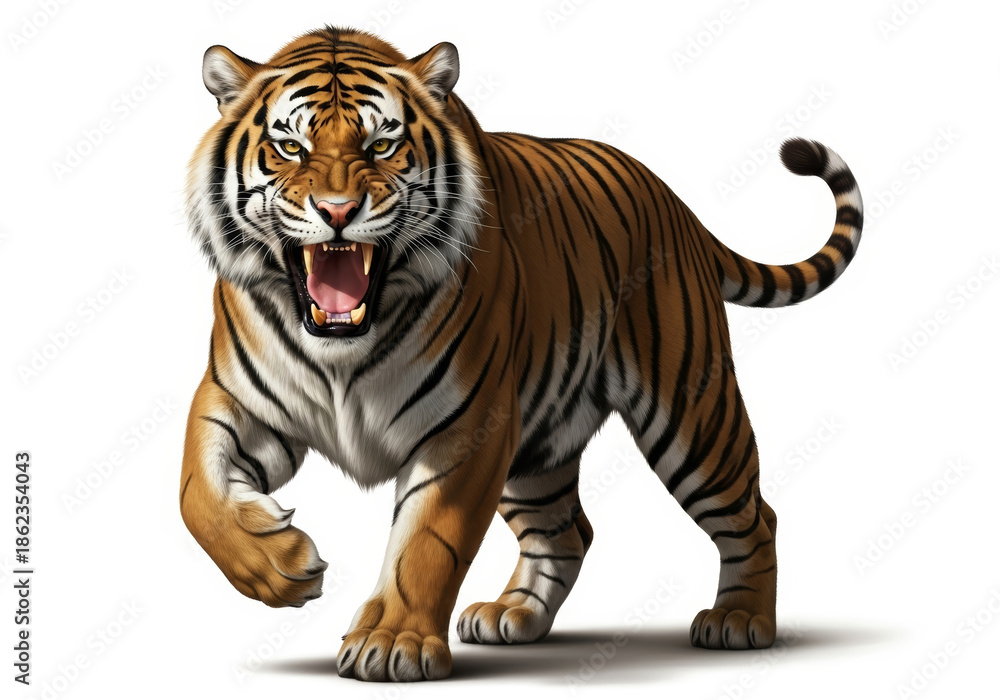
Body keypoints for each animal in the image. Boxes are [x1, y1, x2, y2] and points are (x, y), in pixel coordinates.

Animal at [180, 26, 862, 682]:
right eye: (291, 148)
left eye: (381, 145)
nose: (338, 211)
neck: (341, 348)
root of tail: (675, 203)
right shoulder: (238, 400)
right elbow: (197, 495)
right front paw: (282, 565)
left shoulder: (466, 428)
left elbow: (427, 540)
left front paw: (392, 642)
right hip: (535, 448)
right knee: (568, 532)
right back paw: (515, 614)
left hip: (692, 416)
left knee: (757, 514)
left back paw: (741, 620)